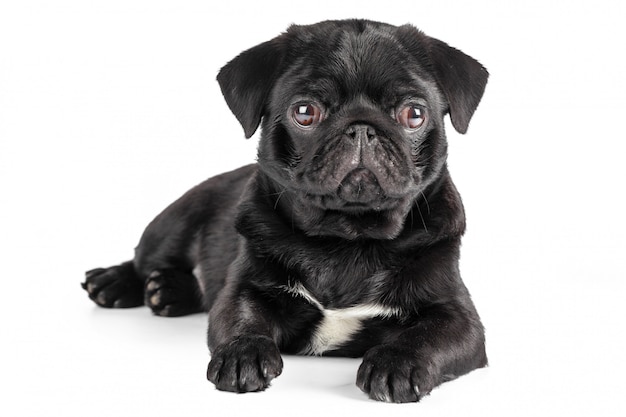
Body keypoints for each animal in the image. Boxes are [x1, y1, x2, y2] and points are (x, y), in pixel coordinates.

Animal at [81, 20, 488, 404]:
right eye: (305, 112)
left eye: (414, 114)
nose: (361, 128)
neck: (347, 237)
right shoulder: (245, 288)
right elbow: (242, 316)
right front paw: (242, 354)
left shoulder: (459, 318)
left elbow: (426, 336)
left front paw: (397, 363)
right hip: (175, 222)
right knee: (145, 259)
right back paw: (116, 283)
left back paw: (168, 290)